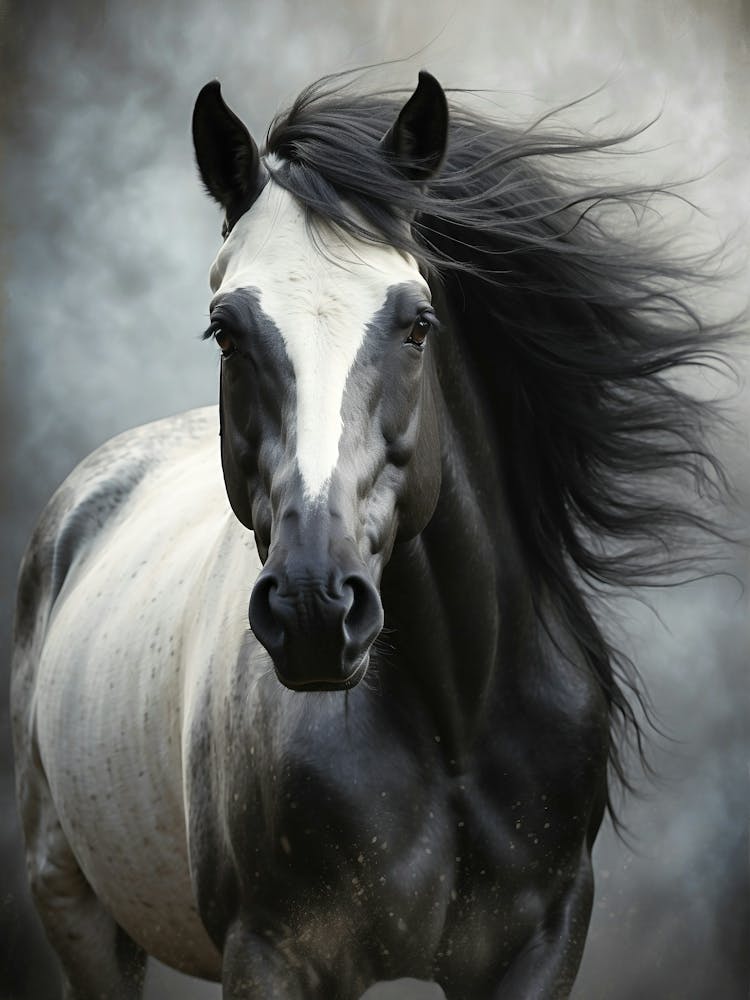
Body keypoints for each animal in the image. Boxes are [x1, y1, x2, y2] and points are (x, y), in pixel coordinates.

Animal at [11, 70, 728, 999]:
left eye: (418, 322)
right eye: (225, 331)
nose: (315, 608)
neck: (457, 726)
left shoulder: (544, 945)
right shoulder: (274, 954)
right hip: (78, 912)